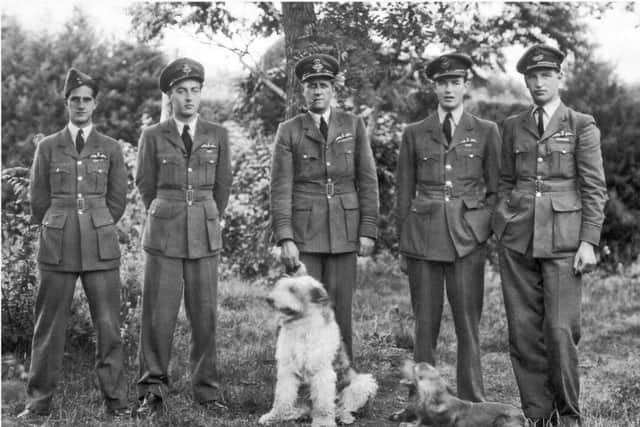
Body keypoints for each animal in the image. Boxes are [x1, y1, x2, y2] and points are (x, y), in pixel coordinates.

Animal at [258, 272, 378, 426]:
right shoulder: (287, 370)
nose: (269, 299)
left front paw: (323, 422)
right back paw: (293, 414)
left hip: (362, 383)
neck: (302, 329)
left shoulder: (322, 372)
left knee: (343, 406)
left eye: (293, 289)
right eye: (279, 286)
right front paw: (275, 416)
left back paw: (344, 416)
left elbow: (323, 403)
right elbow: (282, 397)